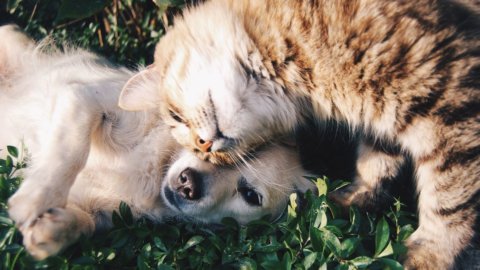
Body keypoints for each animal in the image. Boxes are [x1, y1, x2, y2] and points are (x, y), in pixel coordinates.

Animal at [119, 1, 480, 268]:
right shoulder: (384, 119)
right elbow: (376, 165)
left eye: (177, 118)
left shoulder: (449, 101)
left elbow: (448, 200)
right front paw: (351, 201)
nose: (205, 145)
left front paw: (430, 254)